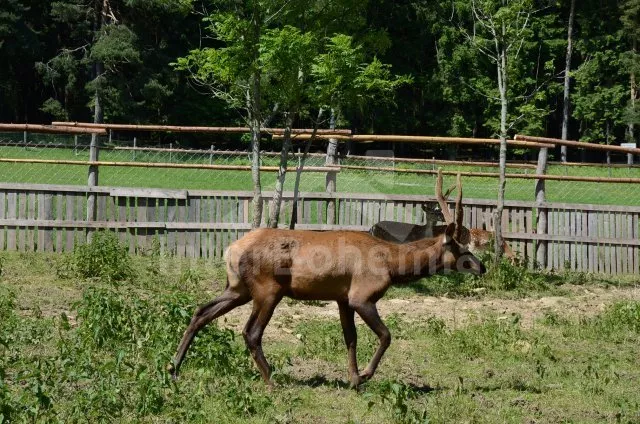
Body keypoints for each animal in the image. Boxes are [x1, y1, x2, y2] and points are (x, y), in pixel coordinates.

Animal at [168, 177, 482, 390]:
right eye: (460, 249)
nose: (482, 266)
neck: (393, 265)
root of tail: (231, 250)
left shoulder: (342, 298)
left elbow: (350, 337)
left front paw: (353, 378)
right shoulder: (362, 296)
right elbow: (386, 335)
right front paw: (364, 375)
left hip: (237, 288)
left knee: (201, 312)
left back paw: (173, 368)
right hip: (268, 290)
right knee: (250, 332)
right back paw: (272, 380)